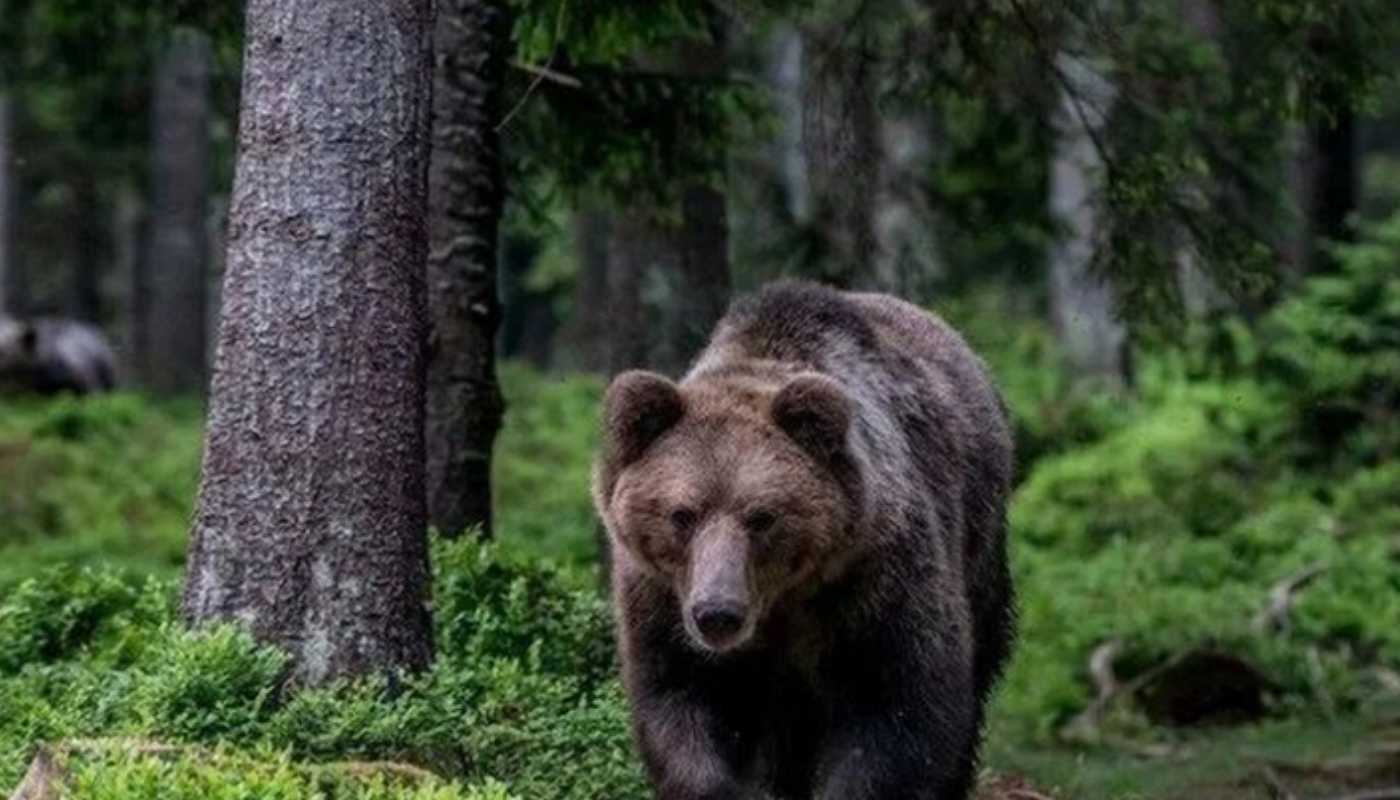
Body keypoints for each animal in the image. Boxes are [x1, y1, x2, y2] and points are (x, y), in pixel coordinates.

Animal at [593, 283, 1019, 800]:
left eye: (762, 517)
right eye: (682, 515)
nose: (718, 613)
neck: (782, 601)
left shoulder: (877, 582)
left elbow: (898, 707)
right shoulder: (662, 600)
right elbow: (679, 701)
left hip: (981, 541)